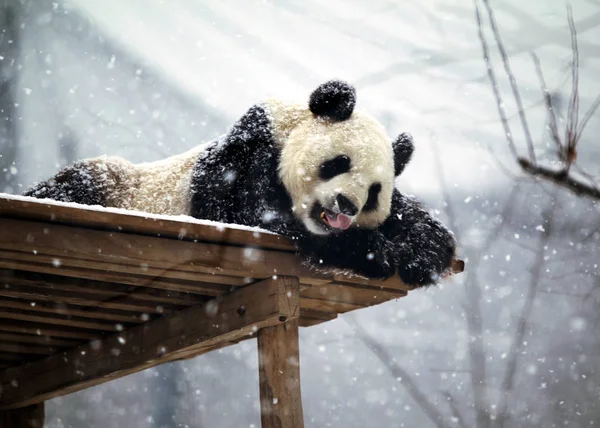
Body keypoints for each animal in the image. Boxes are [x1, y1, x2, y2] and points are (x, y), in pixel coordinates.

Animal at [22, 81, 454, 288]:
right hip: (114, 181)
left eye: (374, 192)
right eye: (339, 163)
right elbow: (254, 213)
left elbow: (420, 225)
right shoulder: (248, 149)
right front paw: (374, 251)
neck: (289, 128)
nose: (347, 206)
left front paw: (421, 250)